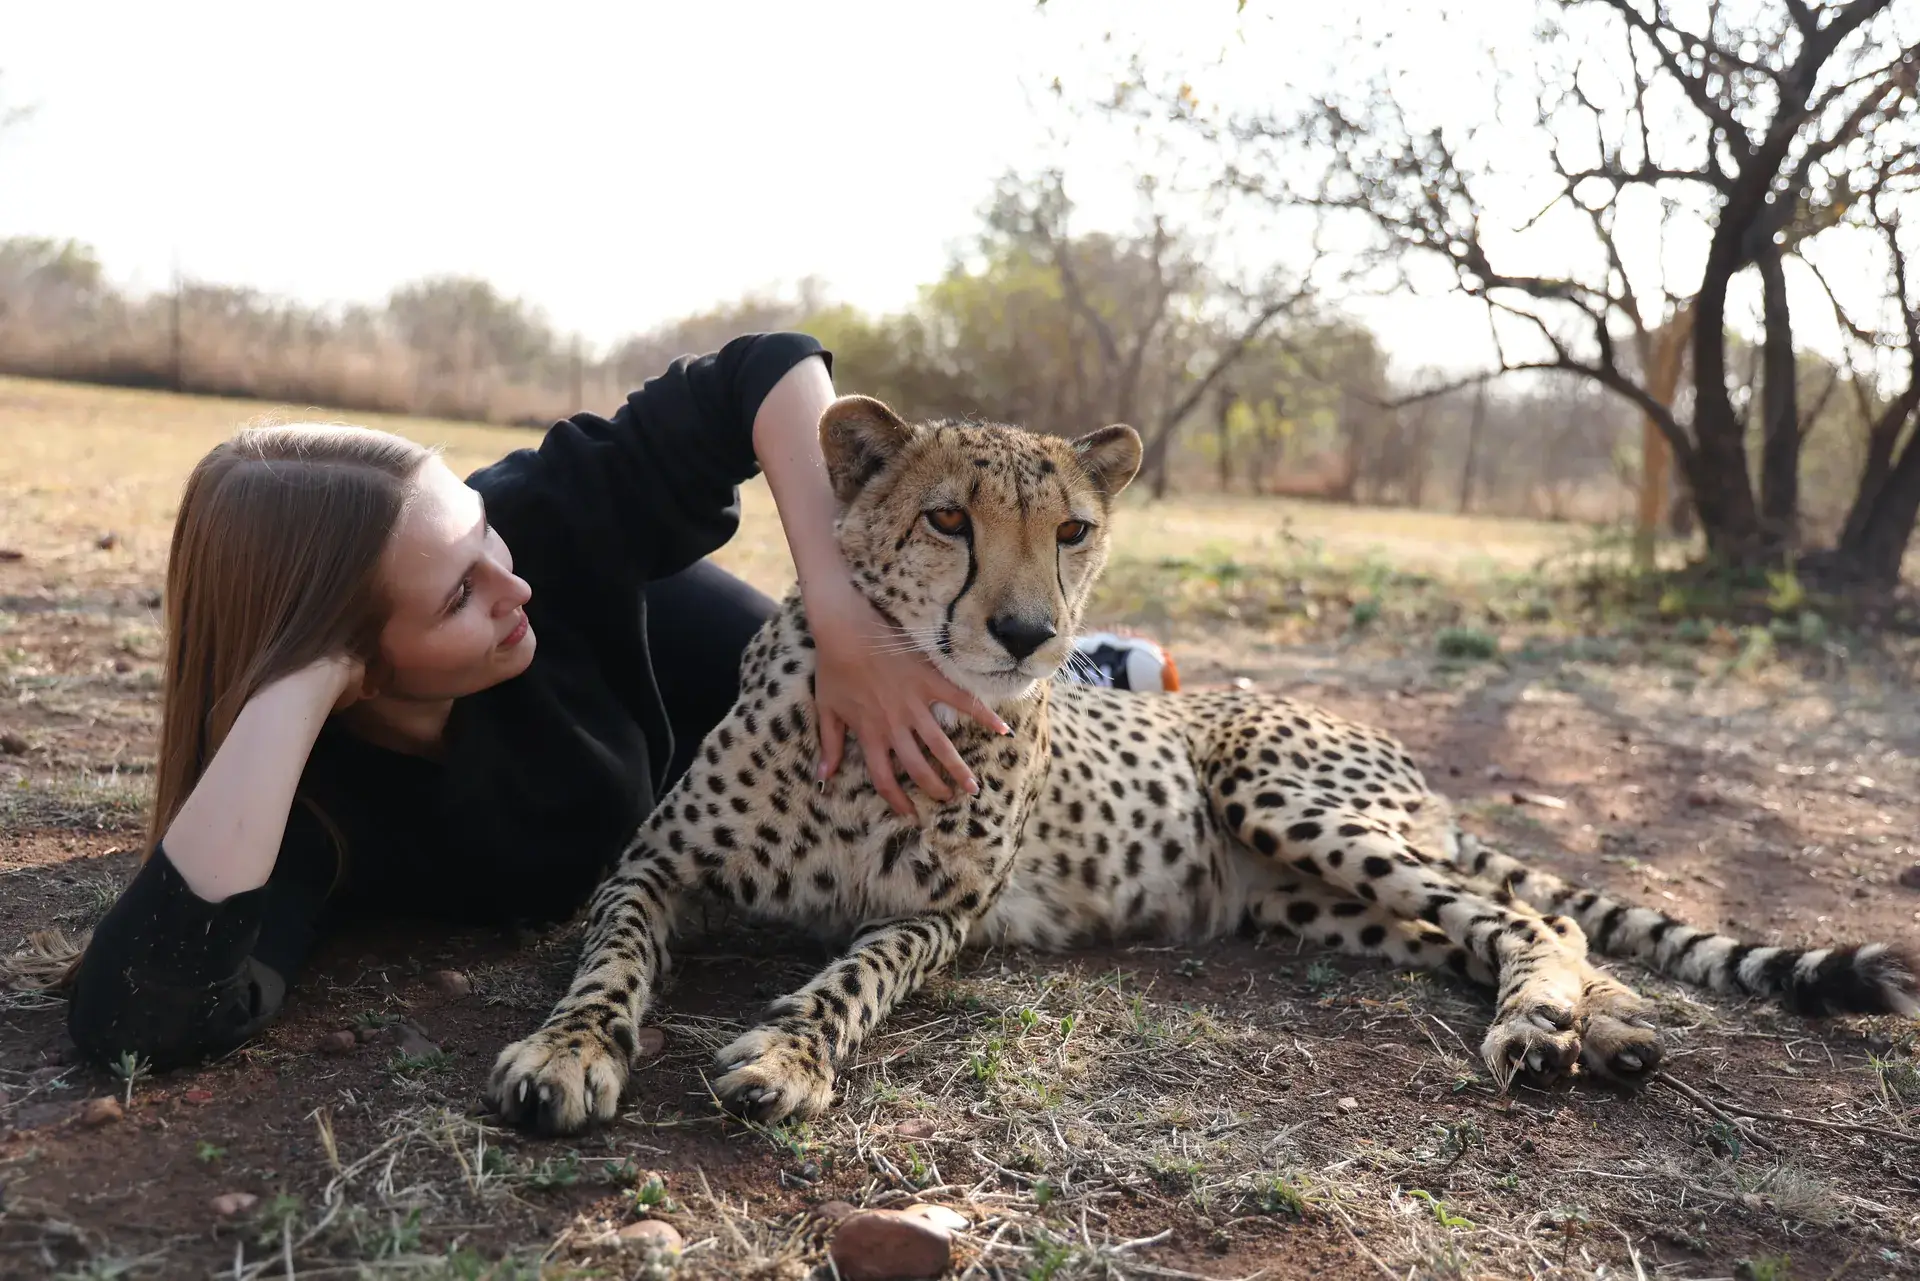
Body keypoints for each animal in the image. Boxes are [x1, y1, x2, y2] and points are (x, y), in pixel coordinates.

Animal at [487, 395, 1919, 1136]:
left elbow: (854, 976)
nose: (1031, 634)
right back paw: (1603, 1032)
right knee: (1487, 932)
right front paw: (567, 1054)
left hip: (1285, 803)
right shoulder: (654, 865)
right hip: (1312, 901)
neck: (901, 705)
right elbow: (608, 960)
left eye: (1072, 530)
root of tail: (1393, 751)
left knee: (1528, 919)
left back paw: (1550, 1025)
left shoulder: (937, 920)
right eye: (948, 518)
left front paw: (786, 1058)